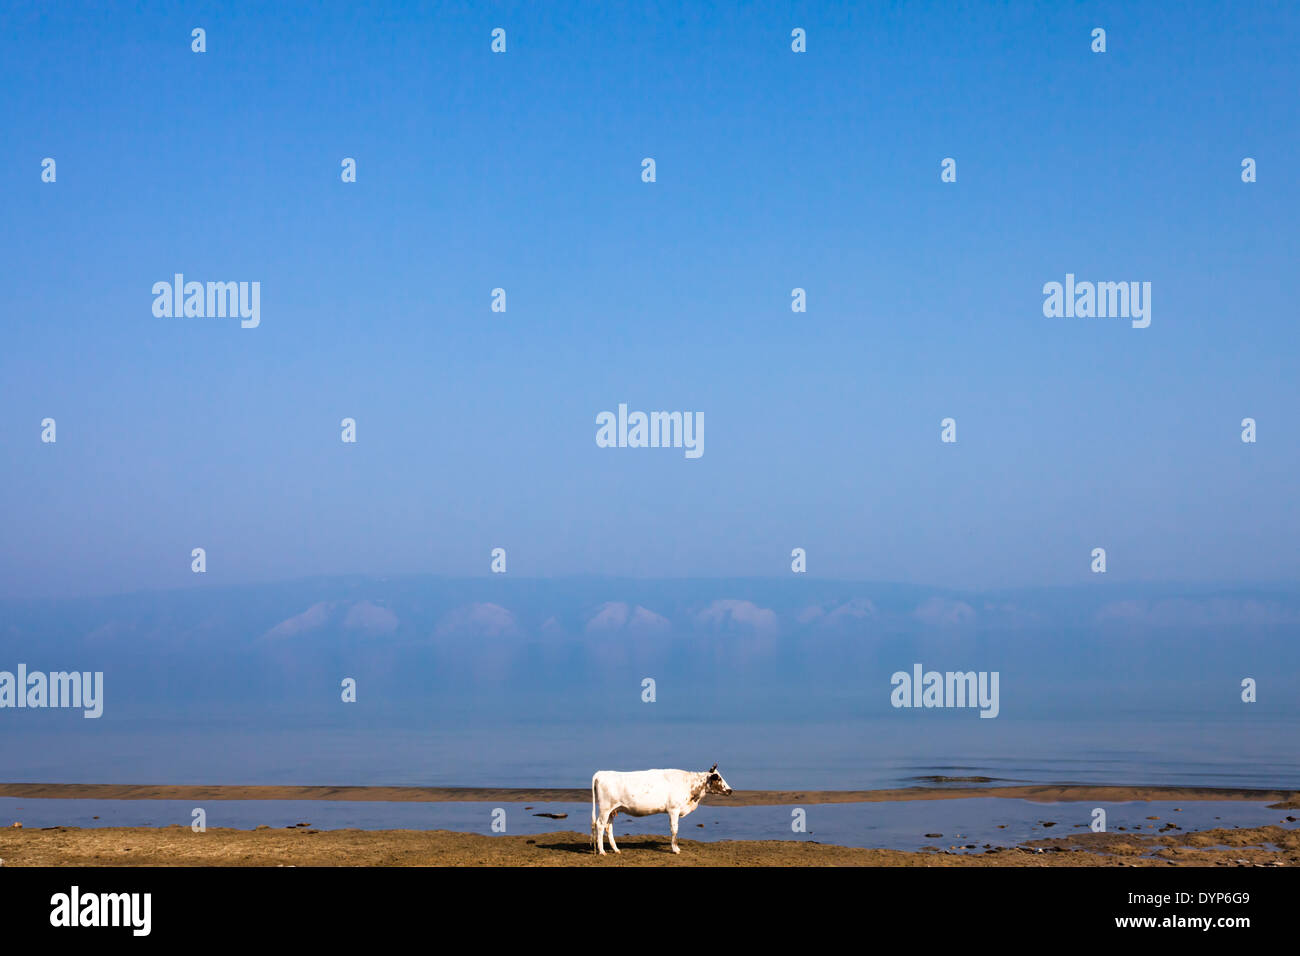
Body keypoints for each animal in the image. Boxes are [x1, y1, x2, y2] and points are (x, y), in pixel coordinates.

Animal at [590, 764, 733, 858]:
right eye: (718, 778)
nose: (730, 790)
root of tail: (602, 773)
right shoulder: (674, 809)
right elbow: (674, 829)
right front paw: (675, 849)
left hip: (613, 810)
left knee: (608, 827)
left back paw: (616, 849)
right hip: (605, 808)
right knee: (600, 825)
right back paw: (602, 851)